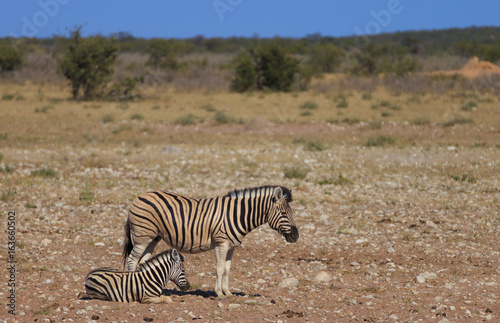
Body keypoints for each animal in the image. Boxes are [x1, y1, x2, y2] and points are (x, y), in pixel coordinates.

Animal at [123, 186, 298, 300]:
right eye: (284, 213)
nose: (296, 236)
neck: (238, 215)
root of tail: (139, 196)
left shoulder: (231, 247)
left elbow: (227, 269)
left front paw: (228, 292)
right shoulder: (221, 244)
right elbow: (219, 268)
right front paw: (219, 293)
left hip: (152, 238)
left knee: (143, 261)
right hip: (142, 237)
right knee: (132, 260)